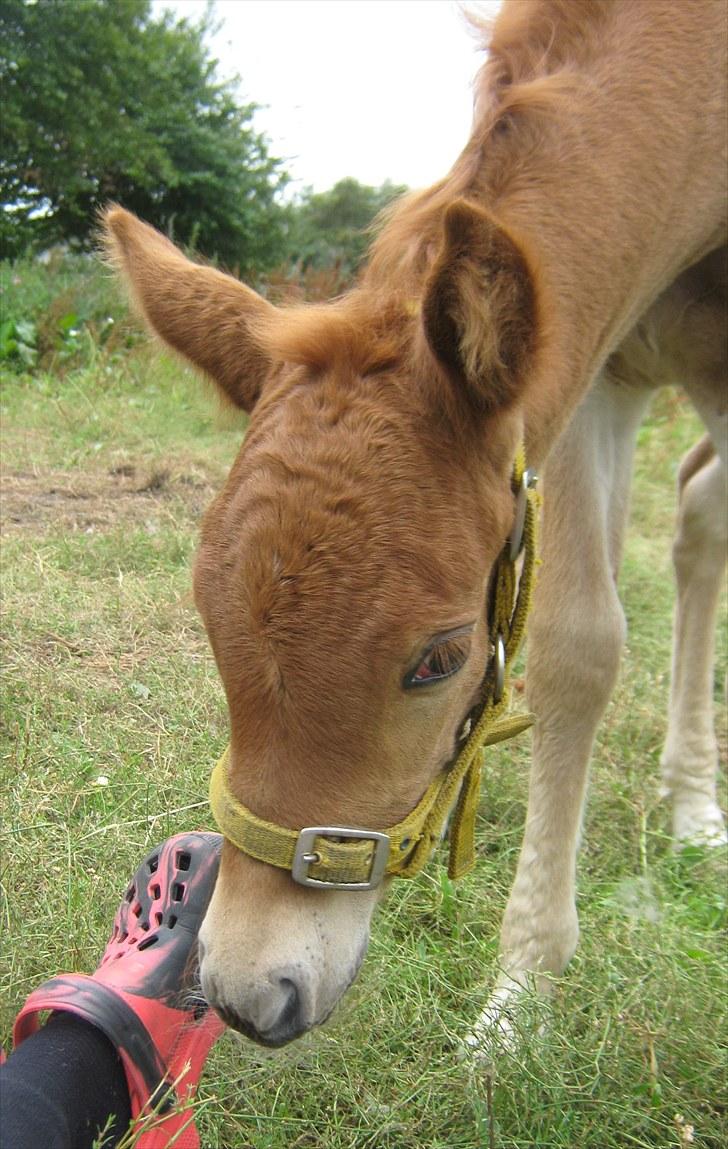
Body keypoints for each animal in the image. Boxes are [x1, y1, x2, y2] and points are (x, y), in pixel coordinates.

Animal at [105, 0, 721, 1052]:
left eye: (440, 659)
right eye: (208, 623)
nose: (248, 991)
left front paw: (517, 1001)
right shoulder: (593, 363)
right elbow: (581, 641)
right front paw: (525, 991)